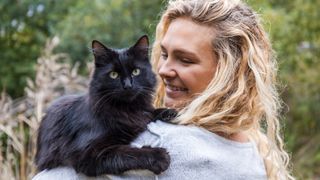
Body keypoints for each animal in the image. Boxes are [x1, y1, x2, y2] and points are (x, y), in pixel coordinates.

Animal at [35, 35, 175, 177]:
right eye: (114, 75)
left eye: (136, 72)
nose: (128, 85)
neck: (126, 109)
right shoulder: (88, 153)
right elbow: (126, 152)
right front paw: (158, 156)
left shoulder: (141, 114)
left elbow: (151, 112)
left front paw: (170, 112)